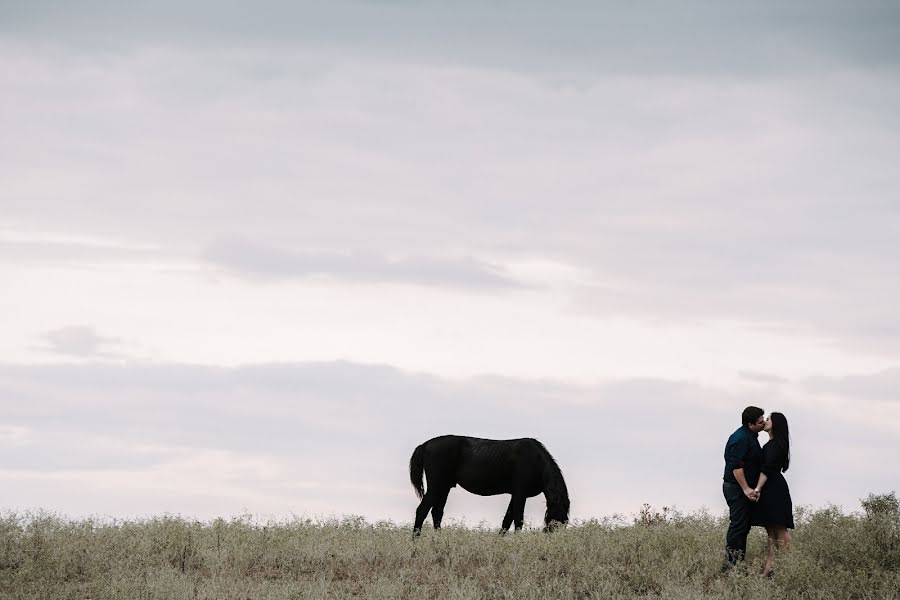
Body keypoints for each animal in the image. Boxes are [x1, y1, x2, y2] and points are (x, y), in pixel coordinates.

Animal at [410, 436, 568, 536]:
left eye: (565, 522)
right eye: (556, 518)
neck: (536, 461)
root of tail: (425, 445)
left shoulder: (515, 494)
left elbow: (507, 520)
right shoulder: (520, 494)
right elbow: (518, 520)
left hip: (444, 487)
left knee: (437, 513)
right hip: (436, 486)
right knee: (422, 510)